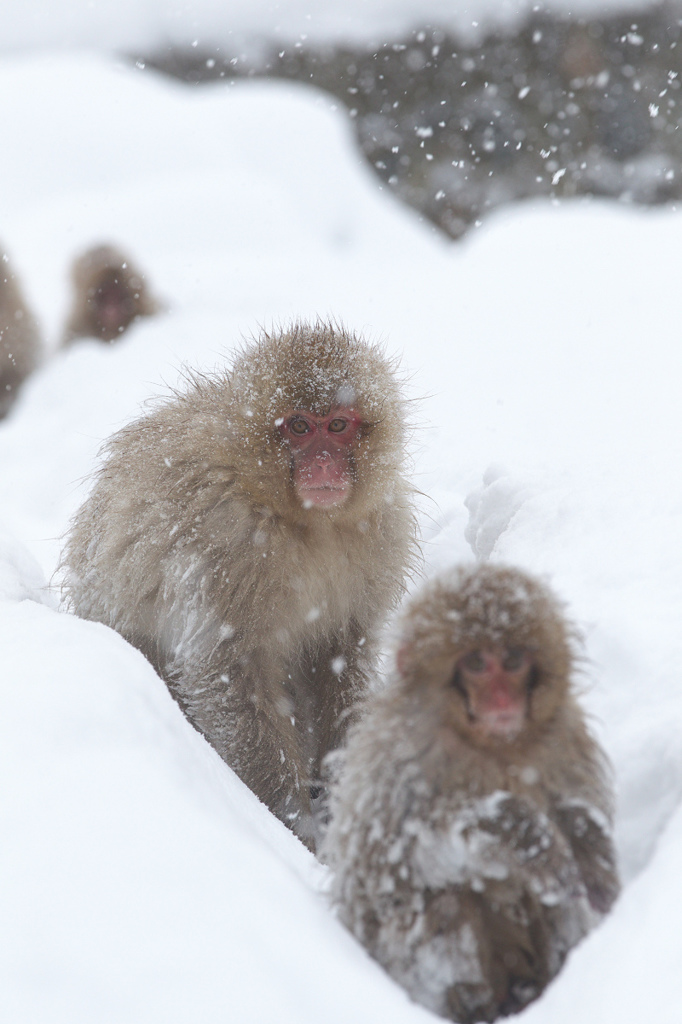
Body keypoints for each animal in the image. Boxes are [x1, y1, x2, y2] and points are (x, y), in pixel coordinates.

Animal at [62, 319, 413, 847]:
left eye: (337, 425)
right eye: (299, 427)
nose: (324, 463)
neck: (304, 523)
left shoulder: (379, 531)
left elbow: (339, 660)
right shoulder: (221, 539)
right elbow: (225, 674)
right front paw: (293, 824)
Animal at [321, 565, 618, 1019]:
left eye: (513, 660)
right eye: (477, 663)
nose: (502, 698)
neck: (495, 747)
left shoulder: (566, 739)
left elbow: (575, 809)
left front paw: (589, 842)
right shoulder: (398, 762)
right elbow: (395, 862)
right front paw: (521, 833)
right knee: (445, 903)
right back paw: (477, 1005)